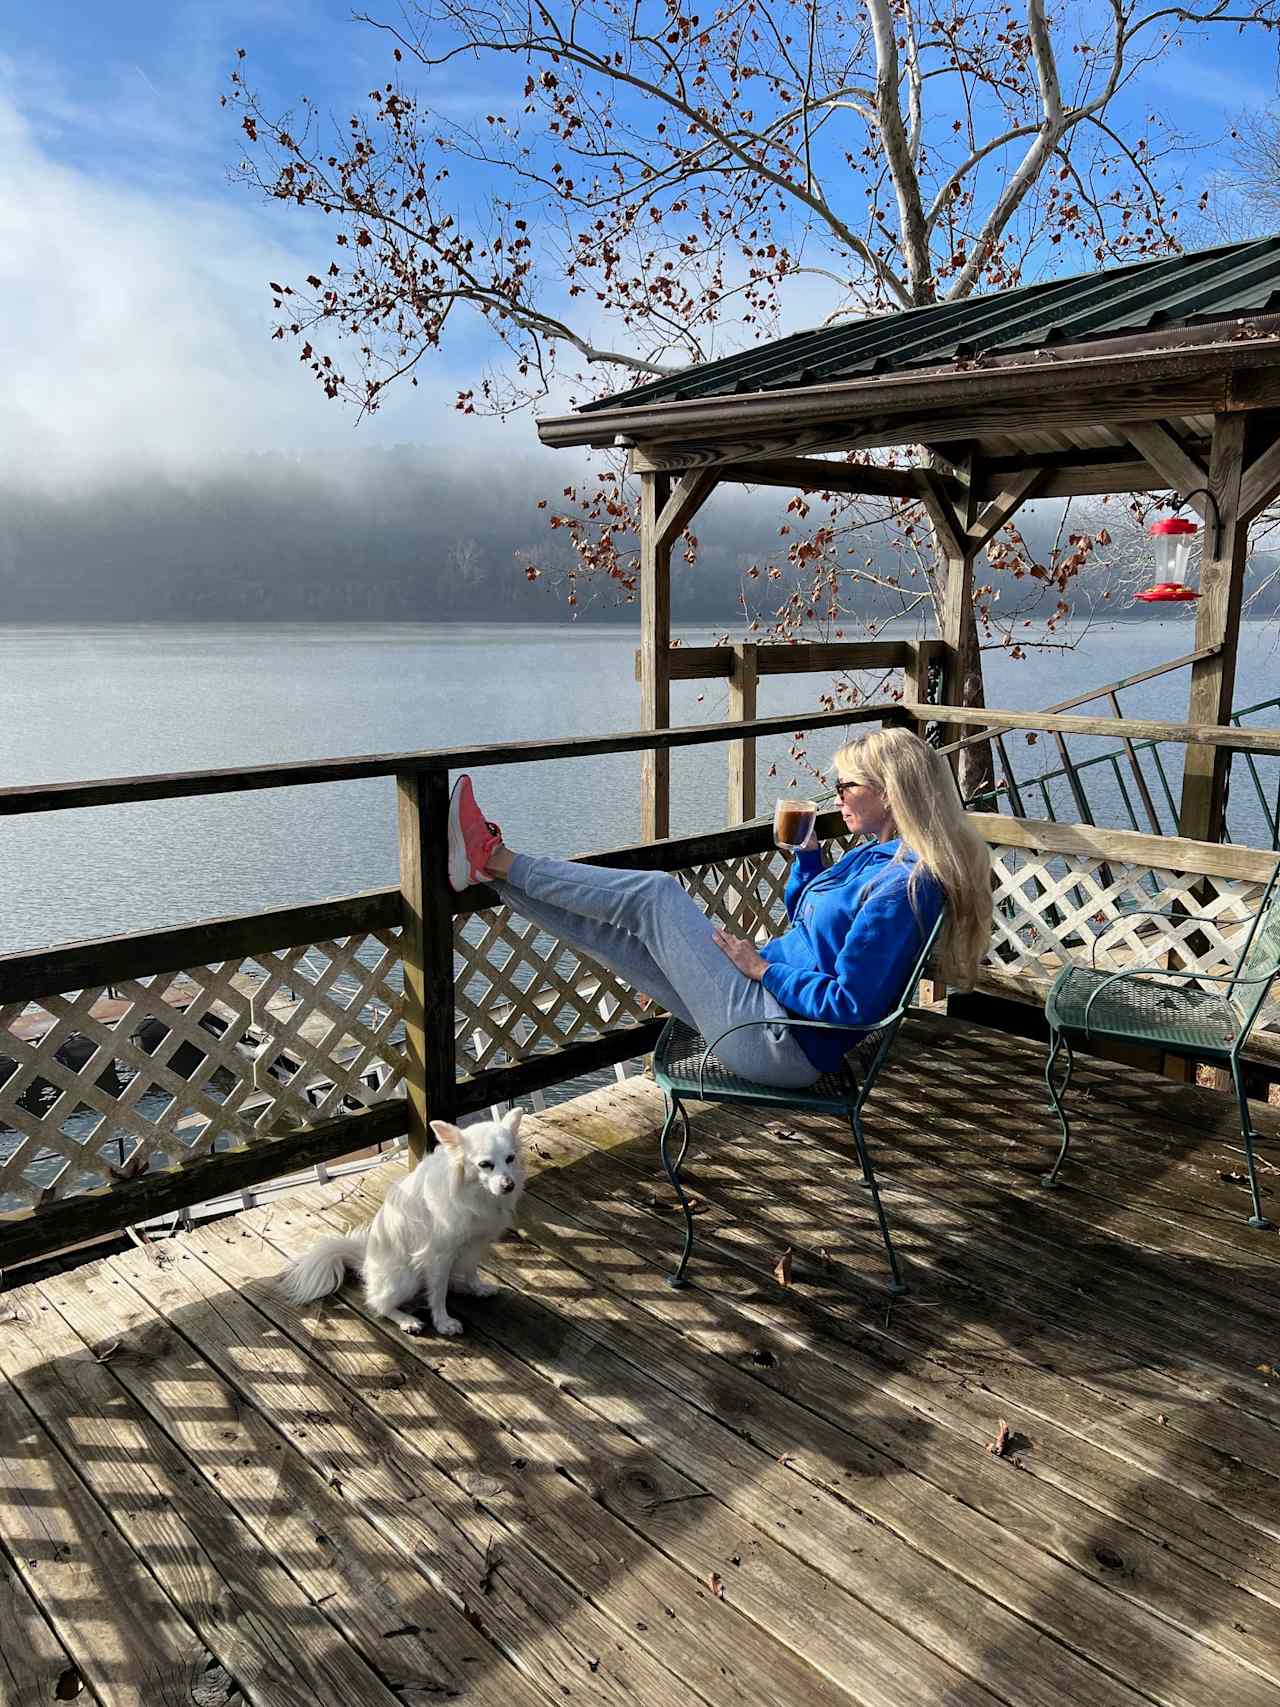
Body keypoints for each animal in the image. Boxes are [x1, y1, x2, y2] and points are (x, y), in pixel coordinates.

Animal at [279, 1106, 525, 1331]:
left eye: (510, 1159)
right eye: (485, 1165)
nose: (509, 1185)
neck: (476, 1193)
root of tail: (365, 1262)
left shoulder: (474, 1243)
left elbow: (470, 1269)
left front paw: (476, 1287)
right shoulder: (439, 1255)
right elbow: (438, 1293)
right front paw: (443, 1322)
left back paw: (459, 1286)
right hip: (406, 1279)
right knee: (379, 1304)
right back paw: (407, 1320)